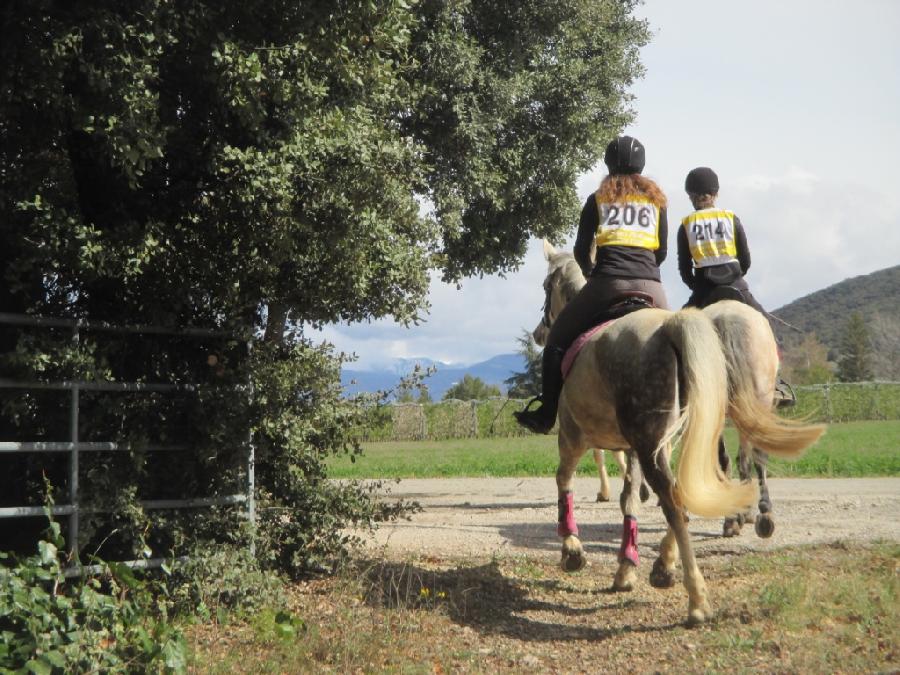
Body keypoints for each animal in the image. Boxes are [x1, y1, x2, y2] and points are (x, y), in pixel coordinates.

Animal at [536, 242, 824, 624]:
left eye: (546, 287)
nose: (539, 334)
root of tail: (673, 327)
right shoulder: (631, 447)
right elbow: (630, 499)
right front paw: (626, 567)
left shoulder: (573, 435)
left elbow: (564, 480)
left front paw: (572, 550)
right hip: (685, 431)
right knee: (694, 484)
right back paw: (676, 560)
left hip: (650, 441)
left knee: (680, 495)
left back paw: (696, 595)